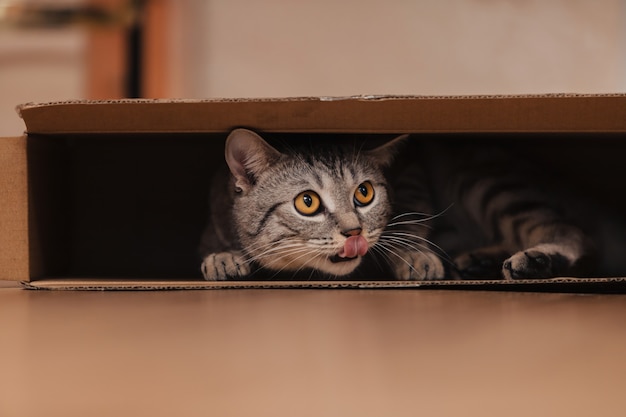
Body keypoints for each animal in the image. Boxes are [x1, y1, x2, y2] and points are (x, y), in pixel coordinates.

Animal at [200, 128, 596, 282]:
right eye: (307, 202)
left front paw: (415, 256)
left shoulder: (413, 172)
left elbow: (411, 221)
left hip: (484, 183)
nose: (354, 232)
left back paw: (536, 260)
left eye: (364, 193)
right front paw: (222, 256)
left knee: (569, 229)